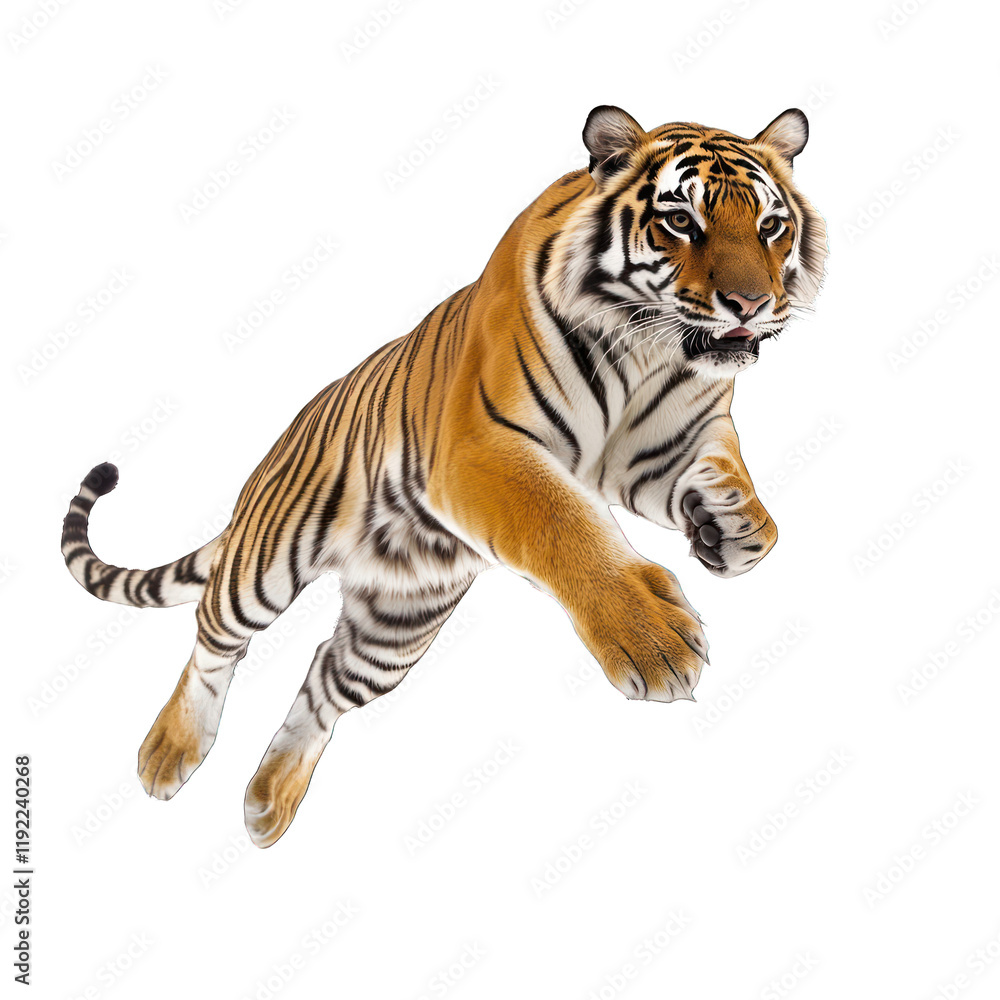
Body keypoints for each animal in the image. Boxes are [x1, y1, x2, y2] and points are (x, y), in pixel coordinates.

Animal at [61, 105, 826, 848]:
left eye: (771, 226)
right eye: (680, 221)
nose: (751, 304)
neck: (651, 350)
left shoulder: (663, 447)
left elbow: (744, 504)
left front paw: (728, 526)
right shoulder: (482, 450)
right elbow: (565, 523)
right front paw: (652, 636)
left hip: (398, 621)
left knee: (326, 677)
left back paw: (266, 805)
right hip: (267, 559)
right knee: (215, 638)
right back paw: (168, 752)